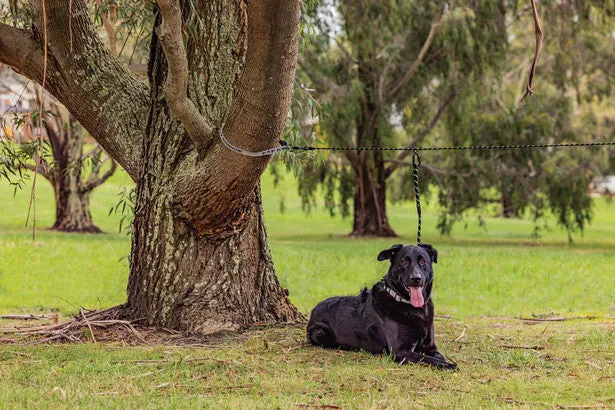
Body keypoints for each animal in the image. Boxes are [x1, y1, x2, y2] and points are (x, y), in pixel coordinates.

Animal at [308, 242, 458, 370]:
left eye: (422, 262)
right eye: (404, 262)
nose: (416, 278)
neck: (409, 305)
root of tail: (314, 309)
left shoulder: (430, 346)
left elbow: (438, 356)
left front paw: (446, 361)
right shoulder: (400, 351)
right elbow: (428, 359)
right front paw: (449, 365)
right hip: (319, 331)